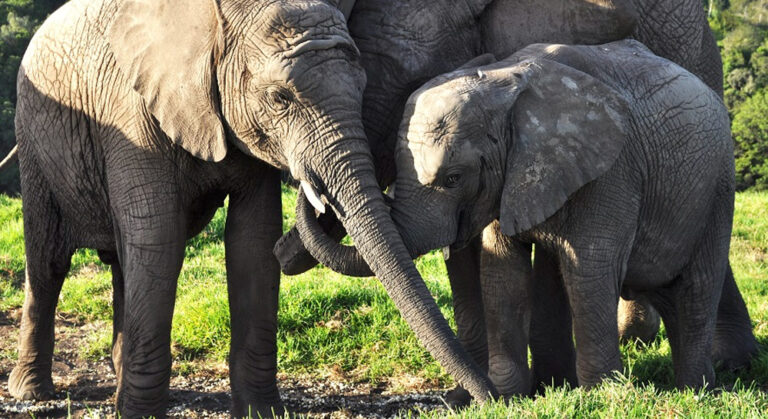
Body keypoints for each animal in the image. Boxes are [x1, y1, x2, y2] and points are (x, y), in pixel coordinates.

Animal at [7, 0, 497, 416]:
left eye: (362, 89)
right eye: (280, 98)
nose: (492, 399)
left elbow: (253, 239)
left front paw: (261, 411)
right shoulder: (131, 113)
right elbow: (159, 239)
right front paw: (139, 415)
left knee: (123, 263)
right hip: (34, 137)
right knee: (49, 261)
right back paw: (31, 391)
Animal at [278, 0, 756, 401]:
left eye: (454, 178)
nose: (311, 188)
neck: (503, 87)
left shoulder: (613, 170)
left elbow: (590, 269)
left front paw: (599, 397)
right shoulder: (509, 177)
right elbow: (503, 272)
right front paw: (512, 396)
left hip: (718, 183)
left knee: (696, 287)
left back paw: (698, 390)